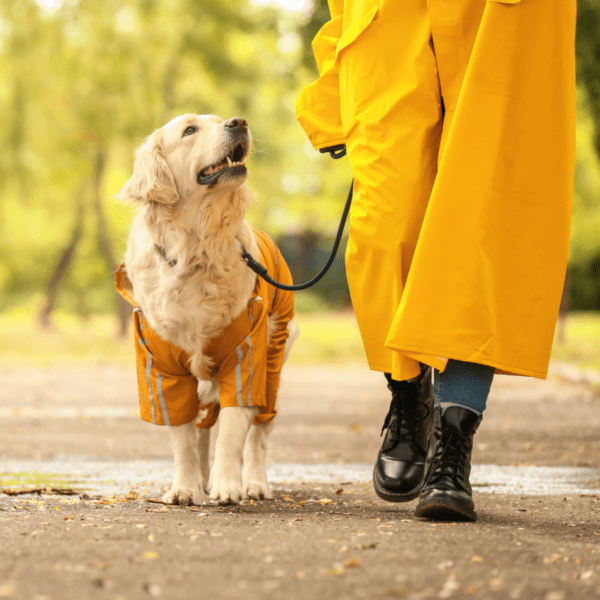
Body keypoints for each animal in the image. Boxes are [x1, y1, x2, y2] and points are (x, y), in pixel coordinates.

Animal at [113, 115, 296, 504]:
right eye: (189, 130)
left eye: (222, 119)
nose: (238, 122)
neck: (195, 249)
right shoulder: (162, 367)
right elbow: (183, 439)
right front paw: (185, 488)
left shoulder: (245, 357)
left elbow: (232, 432)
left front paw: (227, 486)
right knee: (201, 427)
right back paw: (200, 480)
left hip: (273, 361)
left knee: (258, 433)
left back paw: (254, 483)